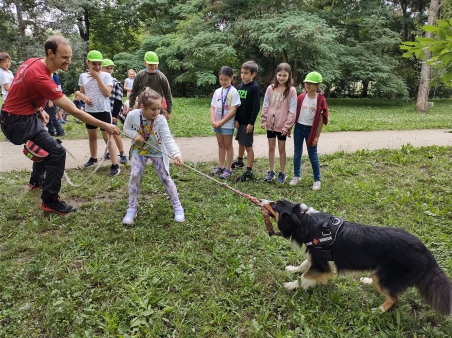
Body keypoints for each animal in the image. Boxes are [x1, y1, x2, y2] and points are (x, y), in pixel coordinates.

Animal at [262, 198, 452, 314]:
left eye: (274, 205)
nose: (261, 201)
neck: (302, 219)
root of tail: (427, 255)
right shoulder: (316, 256)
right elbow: (303, 265)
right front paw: (291, 269)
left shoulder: (321, 264)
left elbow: (306, 277)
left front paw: (291, 285)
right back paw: (367, 281)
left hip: (388, 274)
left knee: (393, 298)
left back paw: (377, 311)